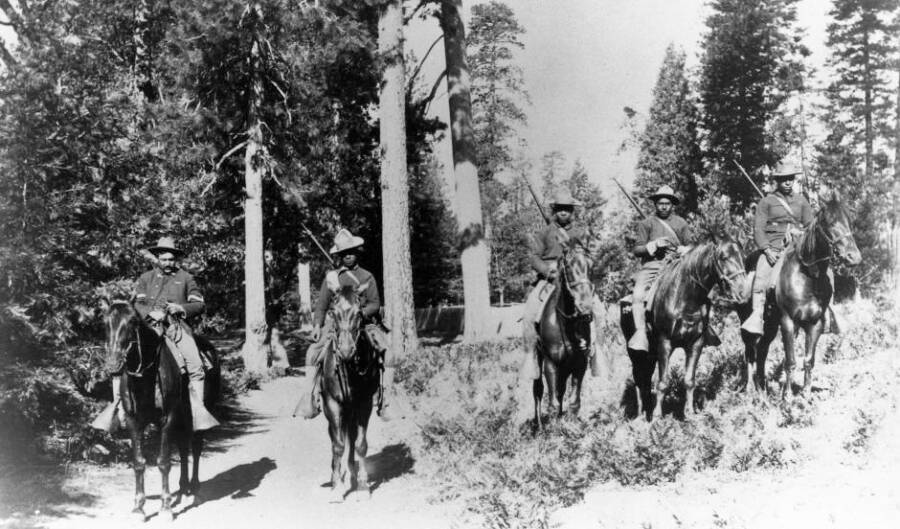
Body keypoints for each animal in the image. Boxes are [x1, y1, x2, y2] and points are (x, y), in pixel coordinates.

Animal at [99, 300, 219, 520]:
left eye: (133, 321)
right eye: (105, 322)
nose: (113, 364)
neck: (145, 376)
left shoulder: (168, 418)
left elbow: (163, 462)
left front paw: (165, 507)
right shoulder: (134, 421)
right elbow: (139, 462)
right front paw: (139, 507)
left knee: (196, 447)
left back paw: (195, 491)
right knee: (183, 447)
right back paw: (183, 487)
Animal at [320, 284, 380, 500]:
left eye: (359, 313)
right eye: (333, 313)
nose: (346, 351)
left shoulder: (364, 403)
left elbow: (361, 444)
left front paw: (363, 486)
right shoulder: (332, 404)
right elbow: (338, 445)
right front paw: (337, 487)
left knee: (352, 438)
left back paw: (352, 472)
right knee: (335, 438)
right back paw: (335, 475)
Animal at [536, 242, 596, 428]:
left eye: (591, 266)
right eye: (568, 267)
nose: (585, 309)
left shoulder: (580, 363)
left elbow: (574, 401)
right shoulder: (550, 363)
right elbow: (553, 402)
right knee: (538, 390)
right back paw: (539, 426)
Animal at [624, 240, 748, 420]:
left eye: (742, 256)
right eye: (724, 257)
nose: (743, 292)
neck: (685, 297)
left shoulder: (696, 343)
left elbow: (689, 380)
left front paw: (689, 413)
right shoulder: (665, 342)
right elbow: (663, 382)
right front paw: (657, 416)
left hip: (651, 353)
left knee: (645, 379)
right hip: (636, 353)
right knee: (639, 379)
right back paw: (640, 415)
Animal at [740, 196, 864, 398]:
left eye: (850, 221)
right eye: (830, 223)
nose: (854, 257)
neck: (807, 277)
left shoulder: (815, 324)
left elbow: (808, 360)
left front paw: (805, 395)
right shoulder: (788, 322)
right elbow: (790, 361)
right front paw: (788, 396)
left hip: (771, 326)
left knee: (762, 350)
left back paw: (763, 388)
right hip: (749, 323)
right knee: (750, 351)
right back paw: (751, 389)